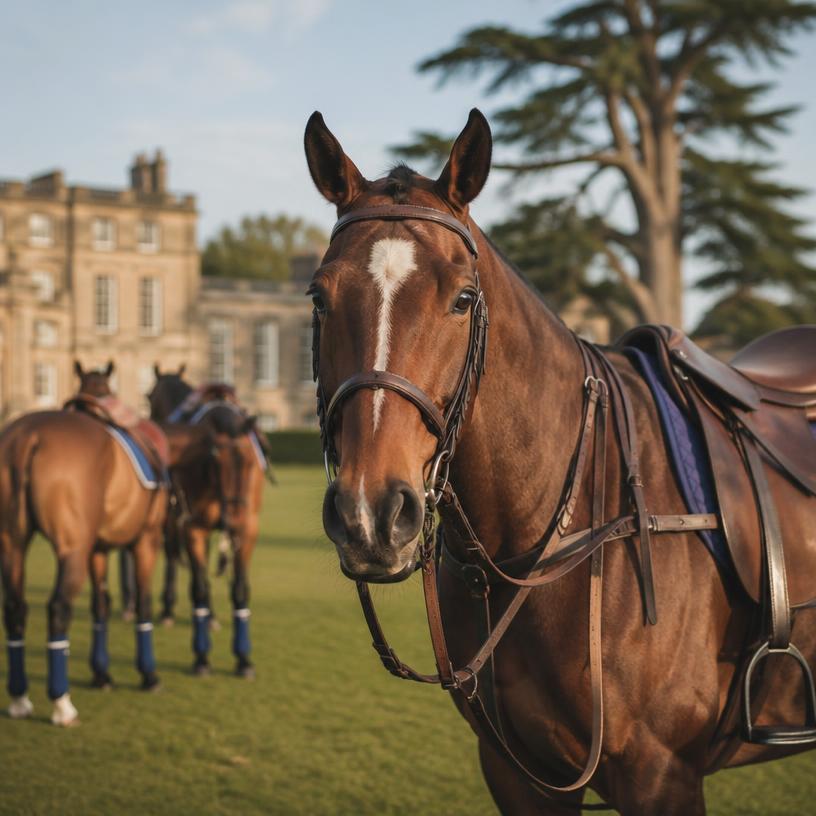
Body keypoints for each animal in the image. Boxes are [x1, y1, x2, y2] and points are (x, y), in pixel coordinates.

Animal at [0, 377, 168, 725]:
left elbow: (100, 605)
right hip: (71, 549)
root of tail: (27, 437)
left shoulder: (97, 550)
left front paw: (102, 675)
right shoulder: (146, 540)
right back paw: (62, 704)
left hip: (12, 544)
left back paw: (20, 699)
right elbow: (143, 603)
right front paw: (149, 675)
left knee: (14, 608)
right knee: (58, 608)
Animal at [148, 367, 266, 678]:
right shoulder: (192, 527)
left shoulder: (247, 530)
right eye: (217, 460)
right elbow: (198, 587)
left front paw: (243, 658)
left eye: (249, 462)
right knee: (175, 559)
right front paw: (201, 657)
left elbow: (240, 589)